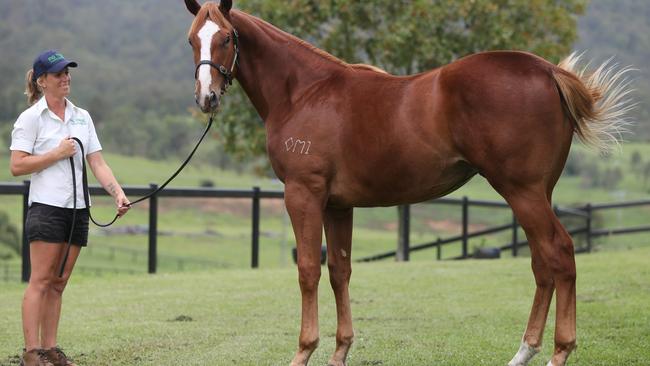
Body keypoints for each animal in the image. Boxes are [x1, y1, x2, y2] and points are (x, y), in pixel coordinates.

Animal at [185, 1, 632, 364]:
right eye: (192, 39)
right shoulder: (337, 204)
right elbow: (340, 270)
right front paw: (340, 350)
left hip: (522, 190)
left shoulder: (303, 194)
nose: (207, 98)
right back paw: (524, 352)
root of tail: (548, 70)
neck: (304, 92)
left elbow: (309, 269)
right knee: (543, 263)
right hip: (537, 192)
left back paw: (559, 351)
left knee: (560, 253)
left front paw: (304, 351)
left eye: (226, 37)